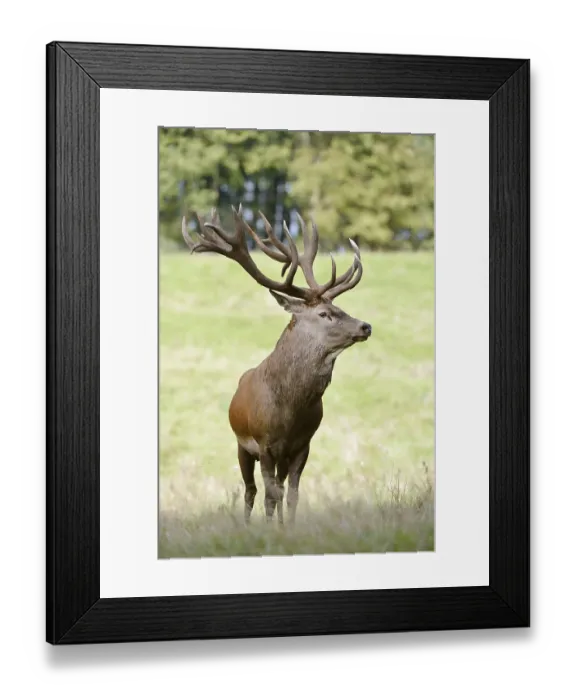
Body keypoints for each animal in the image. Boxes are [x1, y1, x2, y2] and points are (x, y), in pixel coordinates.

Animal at [181, 205, 372, 526]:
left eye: (339, 308)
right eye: (324, 313)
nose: (365, 326)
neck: (290, 410)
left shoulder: (302, 445)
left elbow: (291, 494)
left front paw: (287, 529)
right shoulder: (264, 443)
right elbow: (269, 495)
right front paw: (267, 530)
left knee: (277, 488)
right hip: (241, 446)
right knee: (251, 490)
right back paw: (247, 525)